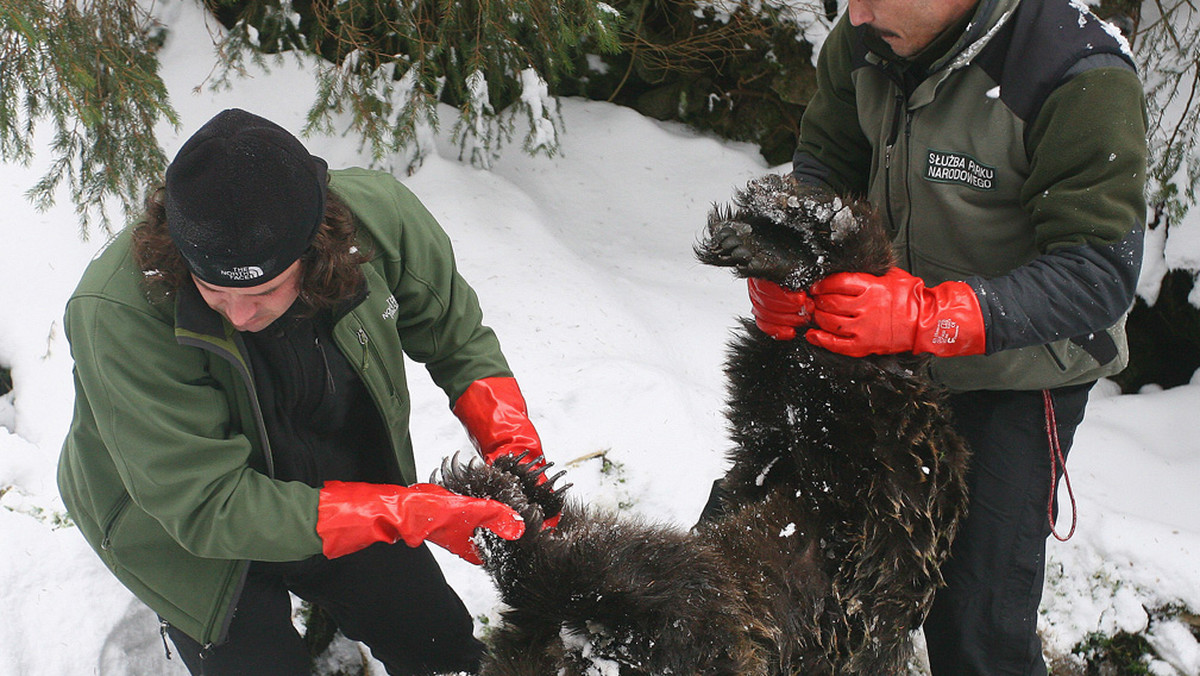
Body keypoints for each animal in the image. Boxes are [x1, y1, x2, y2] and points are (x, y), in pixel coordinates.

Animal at [441, 176, 974, 676]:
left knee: (848, 365)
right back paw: (766, 248)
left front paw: (505, 515)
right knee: (780, 380)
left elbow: (627, 573)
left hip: (880, 481)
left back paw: (801, 235)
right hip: (794, 459)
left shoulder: (715, 628)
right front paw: (521, 487)